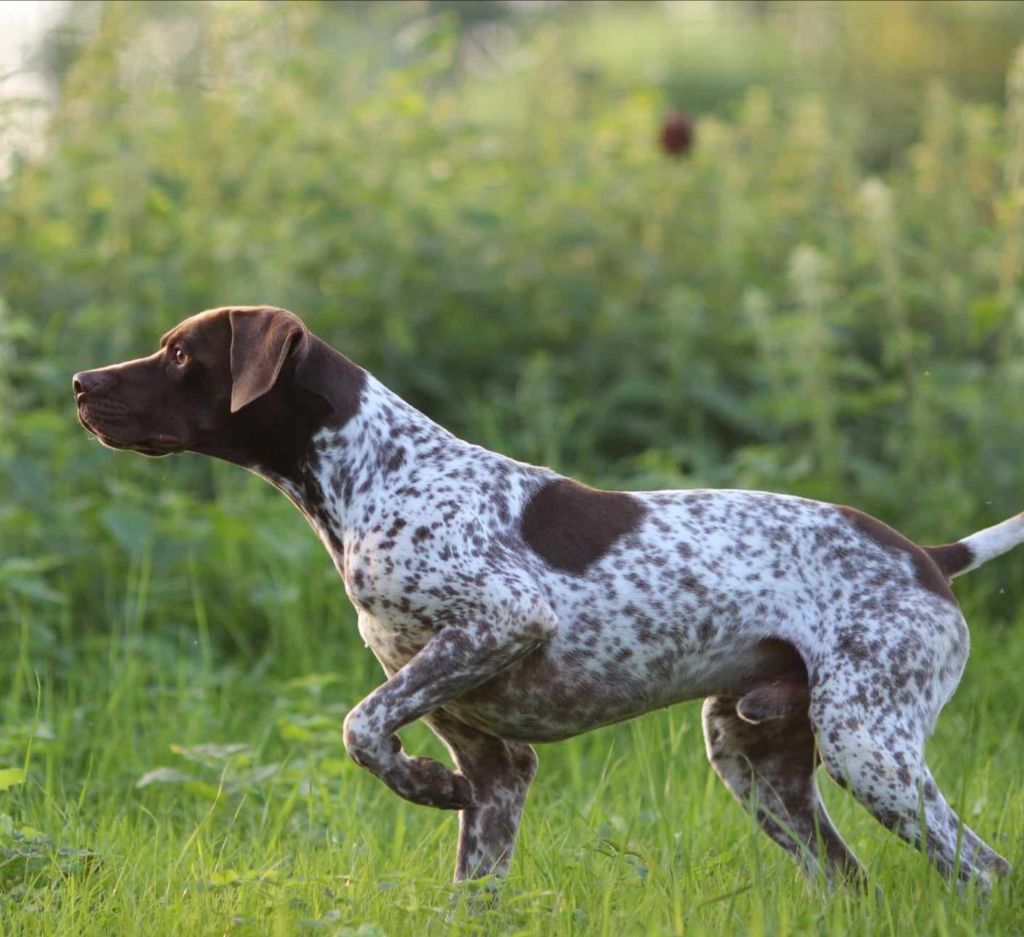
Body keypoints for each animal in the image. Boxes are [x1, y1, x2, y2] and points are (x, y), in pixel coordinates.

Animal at [70, 305, 1015, 884]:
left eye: (180, 354)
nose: (80, 383)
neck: (374, 474)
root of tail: (928, 555)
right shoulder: (497, 765)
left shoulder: (501, 620)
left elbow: (362, 726)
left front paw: (420, 781)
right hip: (755, 761)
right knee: (848, 879)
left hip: (869, 744)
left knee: (984, 870)